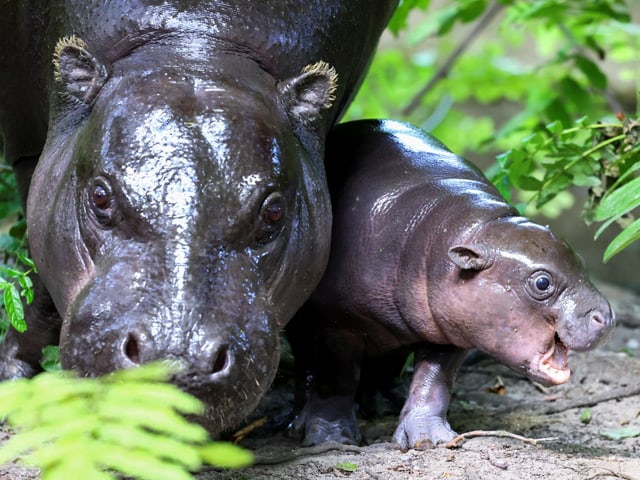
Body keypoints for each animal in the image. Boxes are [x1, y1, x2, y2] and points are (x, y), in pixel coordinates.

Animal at [0, 0, 396, 436]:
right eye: (101, 197)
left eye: (274, 211)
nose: (175, 362)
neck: (195, 42)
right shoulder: (26, 148)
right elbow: (38, 281)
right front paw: (13, 377)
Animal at [290, 118, 616, 448]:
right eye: (541, 283)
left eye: (580, 262)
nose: (608, 316)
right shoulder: (337, 323)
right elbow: (335, 380)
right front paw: (332, 440)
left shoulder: (448, 332)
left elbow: (434, 383)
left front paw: (429, 439)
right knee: (306, 362)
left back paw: (381, 403)